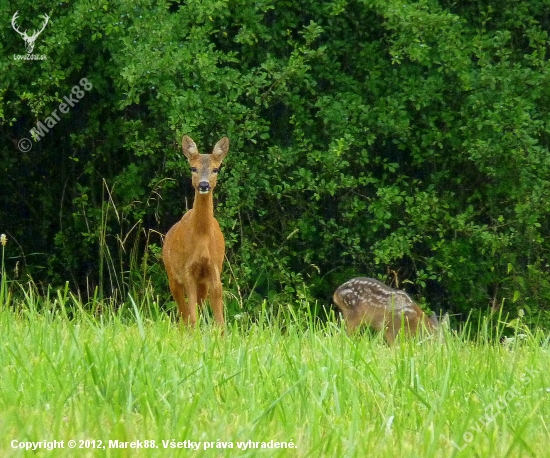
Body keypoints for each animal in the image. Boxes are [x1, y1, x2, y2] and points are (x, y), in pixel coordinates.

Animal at [165, 135, 232, 326]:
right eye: (193, 168)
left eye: (216, 169)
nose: (203, 185)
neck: (202, 238)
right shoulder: (188, 272)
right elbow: (192, 317)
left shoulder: (214, 269)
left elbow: (220, 321)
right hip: (171, 274)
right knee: (183, 314)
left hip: (203, 283)